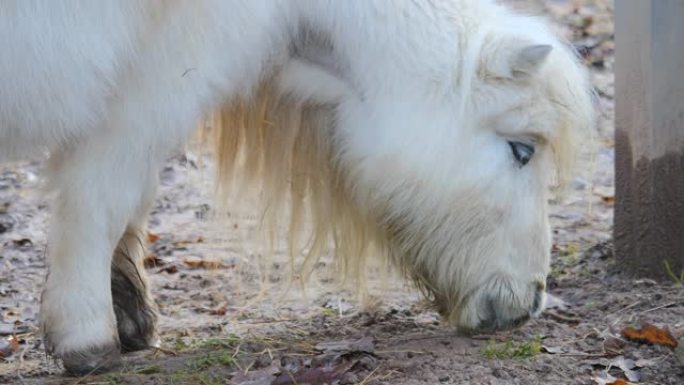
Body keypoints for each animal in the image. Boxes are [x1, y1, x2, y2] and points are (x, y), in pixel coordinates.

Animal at [0, 0, 592, 374]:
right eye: (522, 150)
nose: (529, 303)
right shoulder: (150, 84)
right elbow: (102, 198)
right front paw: (87, 337)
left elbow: (131, 202)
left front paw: (128, 314)